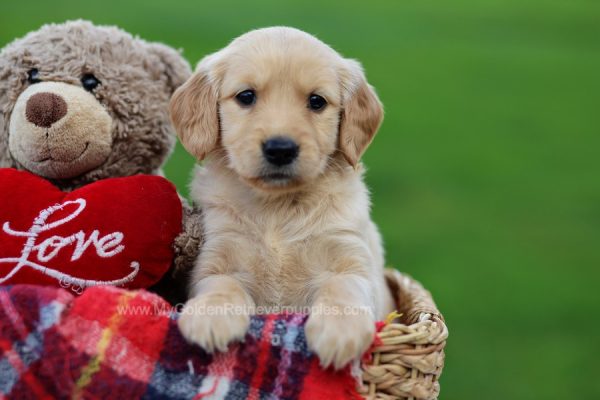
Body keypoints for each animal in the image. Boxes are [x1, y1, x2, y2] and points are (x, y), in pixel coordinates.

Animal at [170, 25, 394, 368]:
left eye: (317, 101)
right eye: (246, 96)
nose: (280, 149)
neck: (277, 207)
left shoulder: (352, 259)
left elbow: (343, 287)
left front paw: (339, 330)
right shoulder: (216, 255)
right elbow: (222, 284)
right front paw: (211, 317)